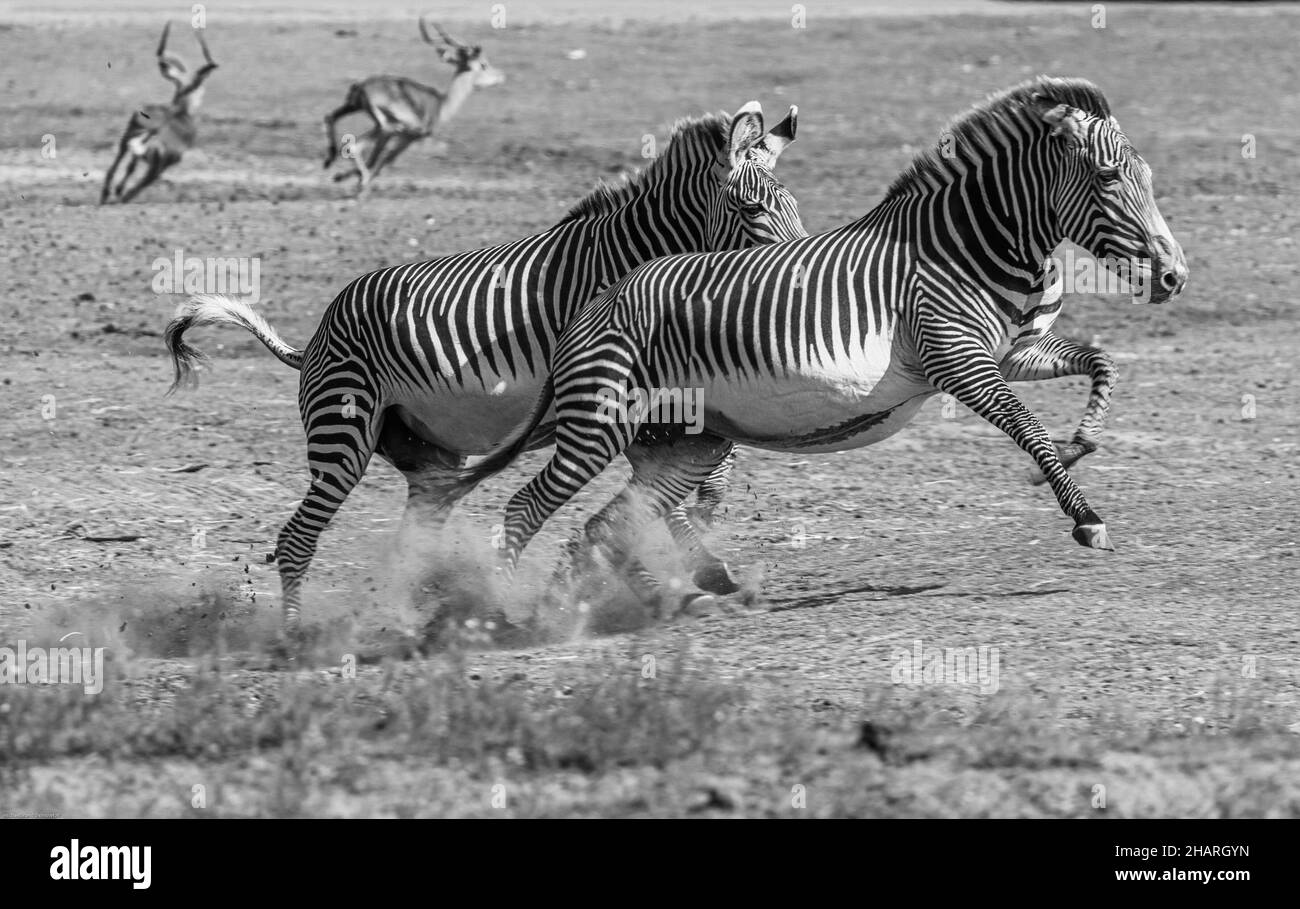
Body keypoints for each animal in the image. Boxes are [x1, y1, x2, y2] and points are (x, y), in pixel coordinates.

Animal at [100, 22, 215, 204]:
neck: (181, 111)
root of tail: (156, 130)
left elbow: (130, 167)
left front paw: (117, 190)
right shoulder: (167, 163)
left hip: (129, 134)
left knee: (119, 162)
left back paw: (107, 195)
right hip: (157, 165)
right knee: (138, 185)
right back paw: (118, 197)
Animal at [167, 104, 806, 632]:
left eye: (796, 207)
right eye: (752, 209)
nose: (795, 272)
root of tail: (316, 337)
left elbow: (691, 483)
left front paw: (704, 569)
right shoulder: (613, 390)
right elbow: (669, 489)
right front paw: (683, 574)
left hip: (427, 455)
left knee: (414, 537)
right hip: (342, 432)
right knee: (298, 536)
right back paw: (297, 632)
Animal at [322, 16, 504, 197]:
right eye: (483, 64)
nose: (501, 76)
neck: (441, 105)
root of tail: (362, 86)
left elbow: (378, 159)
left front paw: (342, 177)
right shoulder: (410, 136)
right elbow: (386, 159)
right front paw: (356, 182)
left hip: (356, 108)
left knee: (332, 120)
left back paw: (332, 163)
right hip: (386, 126)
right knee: (357, 146)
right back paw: (361, 181)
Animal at [465, 74, 1190, 608]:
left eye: (1151, 177)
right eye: (1107, 179)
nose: (1174, 275)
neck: (964, 248)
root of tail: (597, 299)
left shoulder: (1013, 352)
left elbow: (1100, 362)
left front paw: (1079, 445)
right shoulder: (957, 359)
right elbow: (1027, 425)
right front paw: (1085, 515)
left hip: (687, 437)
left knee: (608, 522)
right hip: (603, 422)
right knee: (527, 507)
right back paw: (502, 609)